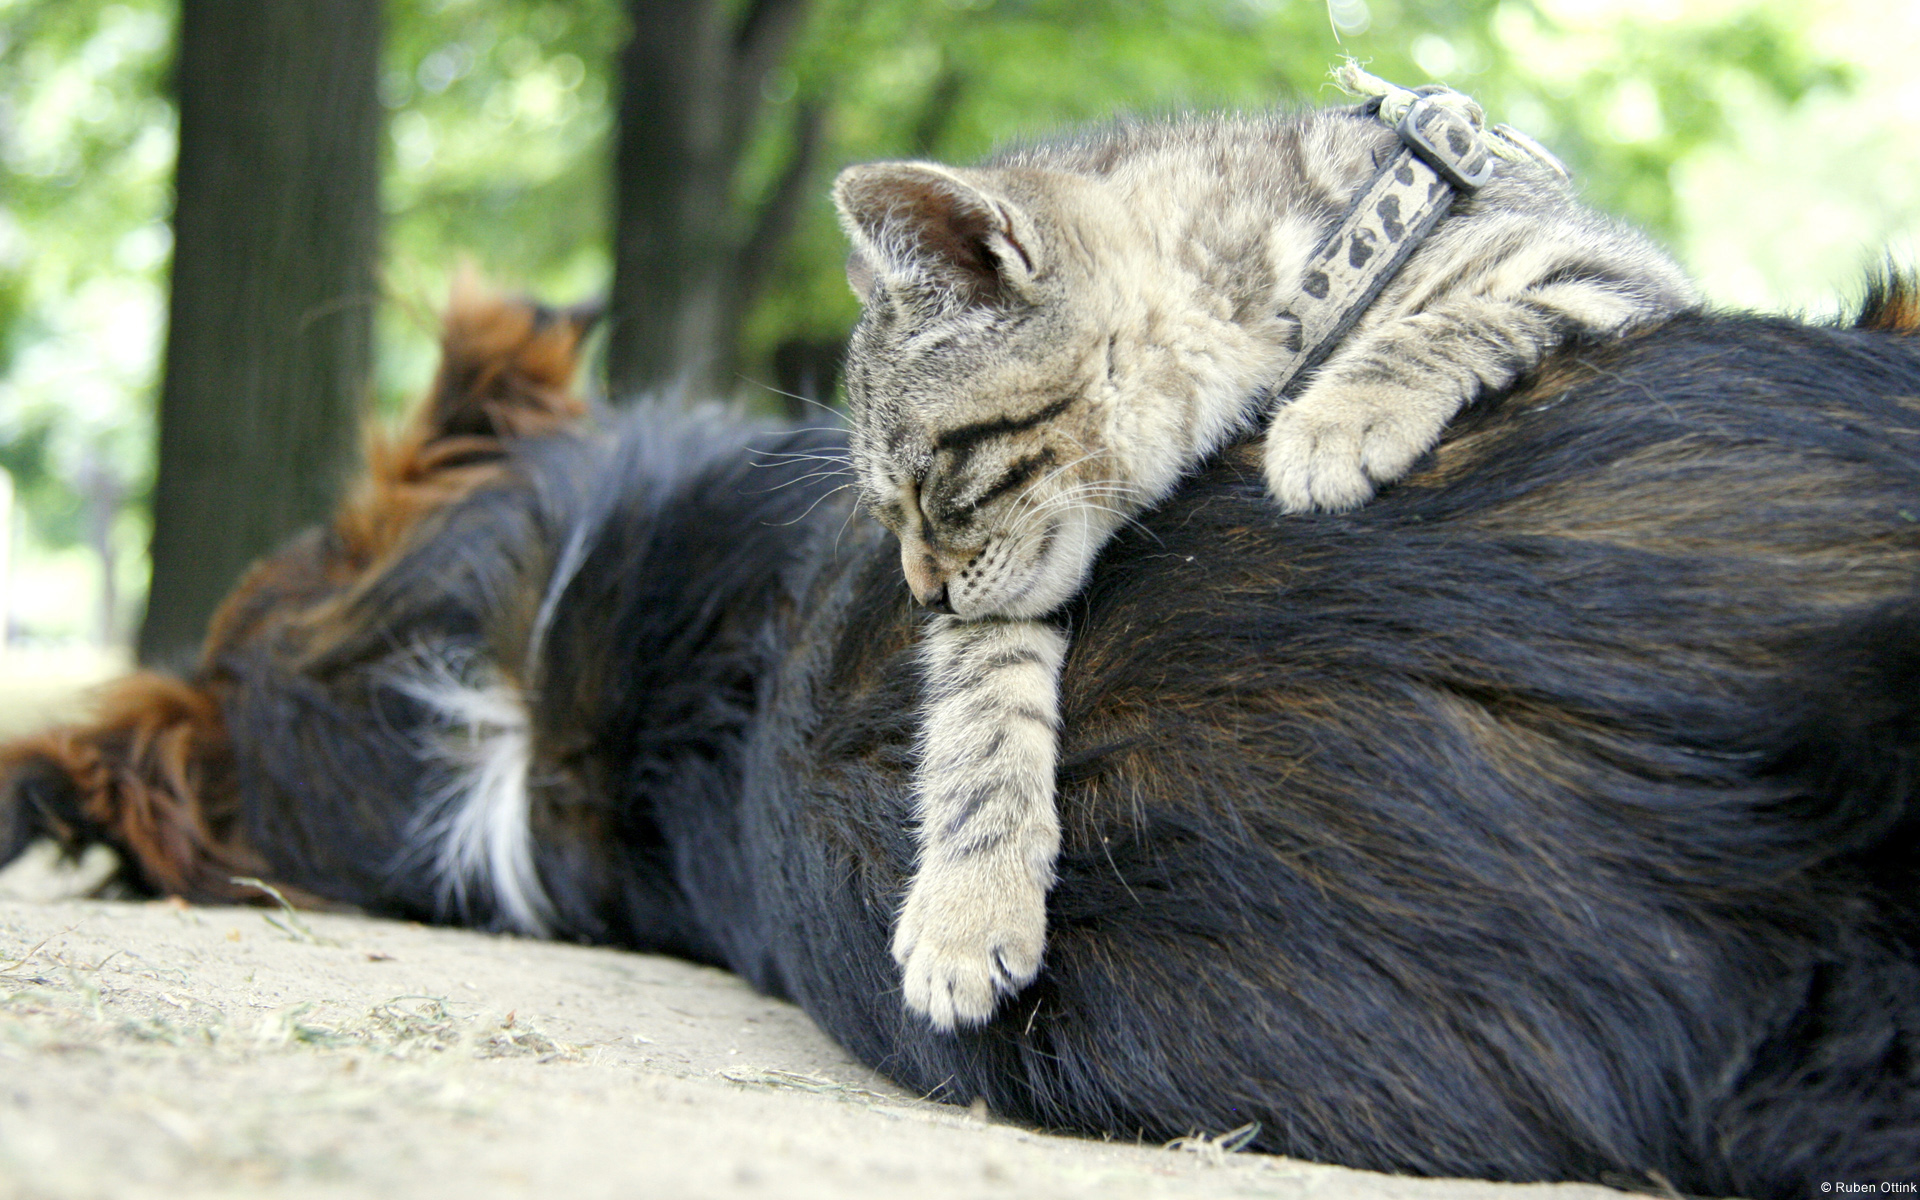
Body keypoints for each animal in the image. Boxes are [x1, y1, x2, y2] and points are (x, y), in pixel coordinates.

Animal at [833, 82, 1704, 1029]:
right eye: (887, 514)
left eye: (926, 488)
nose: (925, 597)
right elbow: (982, 701)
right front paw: (970, 898)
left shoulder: (1610, 271)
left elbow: (1471, 315)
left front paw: (1346, 411)